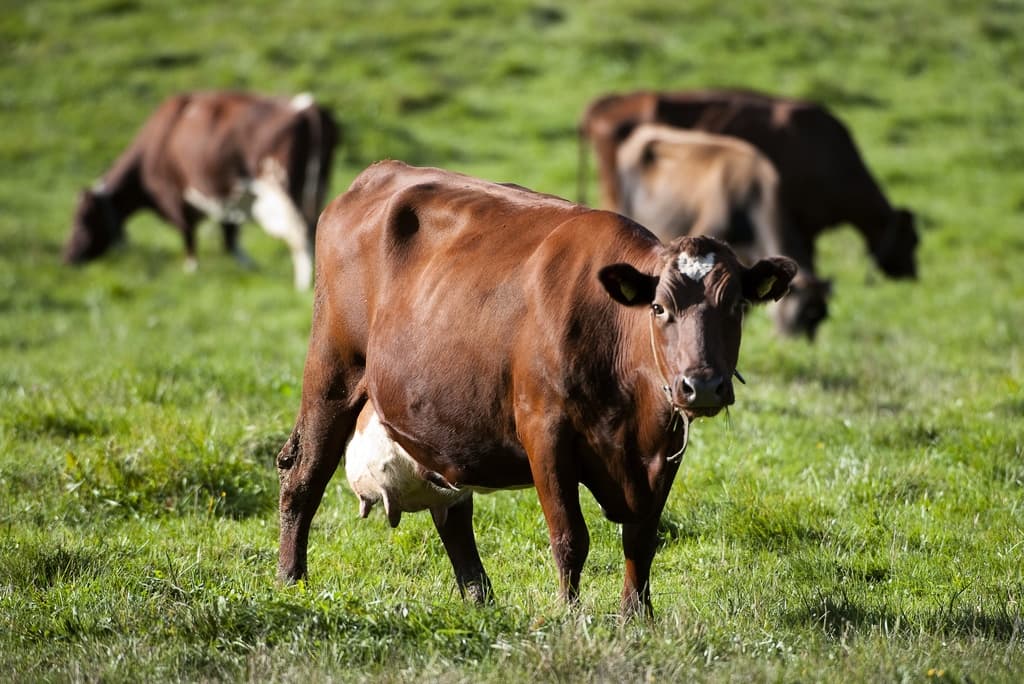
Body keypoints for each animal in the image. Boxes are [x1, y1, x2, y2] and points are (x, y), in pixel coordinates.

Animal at [63, 90, 339, 290]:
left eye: (80, 224)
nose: (66, 258)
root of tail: (309, 107)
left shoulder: (174, 196)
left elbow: (188, 234)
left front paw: (191, 270)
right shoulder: (228, 199)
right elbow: (229, 238)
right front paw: (250, 267)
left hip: (279, 191)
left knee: (298, 234)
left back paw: (302, 284)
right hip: (314, 189)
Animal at [275, 160, 797, 617]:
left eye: (736, 306)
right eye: (659, 308)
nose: (701, 385)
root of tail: (377, 173)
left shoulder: (663, 447)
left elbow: (642, 538)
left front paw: (636, 617)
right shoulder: (545, 431)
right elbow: (571, 538)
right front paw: (569, 615)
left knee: (453, 513)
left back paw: (480, 599)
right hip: (334, 370)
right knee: (303, 474)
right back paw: (290, 580)